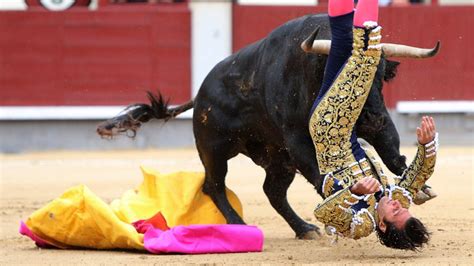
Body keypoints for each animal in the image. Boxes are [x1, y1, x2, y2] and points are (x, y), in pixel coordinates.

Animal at [97, 14, 440, 239]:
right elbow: (320, 174)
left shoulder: (378, 125)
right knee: (214, 185)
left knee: (272, 191)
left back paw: (304, 229)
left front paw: (418, 184)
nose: (372, 118)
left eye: (382, 77)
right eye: (347, 74)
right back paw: (239, 225)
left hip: (278, 159)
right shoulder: (297, 139)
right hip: (214, 149)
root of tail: (200, 93)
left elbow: (391, 151)